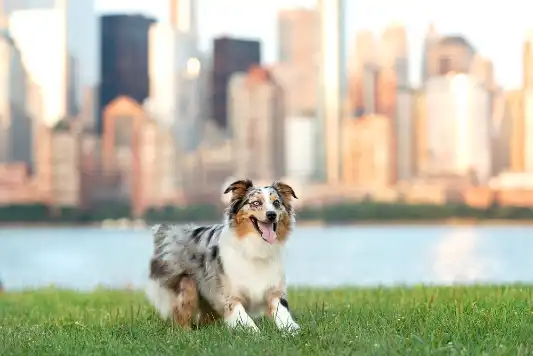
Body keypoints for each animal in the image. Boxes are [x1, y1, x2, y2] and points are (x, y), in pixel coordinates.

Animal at [144, 179, 300, 332]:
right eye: (256, 203)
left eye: (276, 203)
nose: (271, 214)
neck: (256, 247)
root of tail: (168, 231)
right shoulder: (229, 295)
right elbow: (245, 320)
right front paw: (255, 333)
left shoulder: (275, 290)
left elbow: (283, 313)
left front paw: (291, 330)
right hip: (186, 285)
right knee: (181, 315)